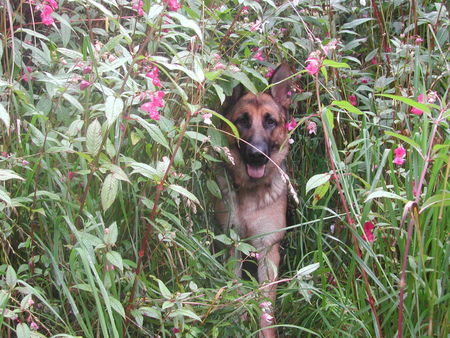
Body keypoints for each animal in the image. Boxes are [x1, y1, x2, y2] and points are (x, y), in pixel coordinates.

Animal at [216, 64, 294, 336]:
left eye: (270, 121)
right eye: (243, 120)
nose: (257, 155)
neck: (251, 191)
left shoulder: (268, 251)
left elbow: (265, 308)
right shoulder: (234, 245)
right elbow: (237, 289)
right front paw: (239, 322)